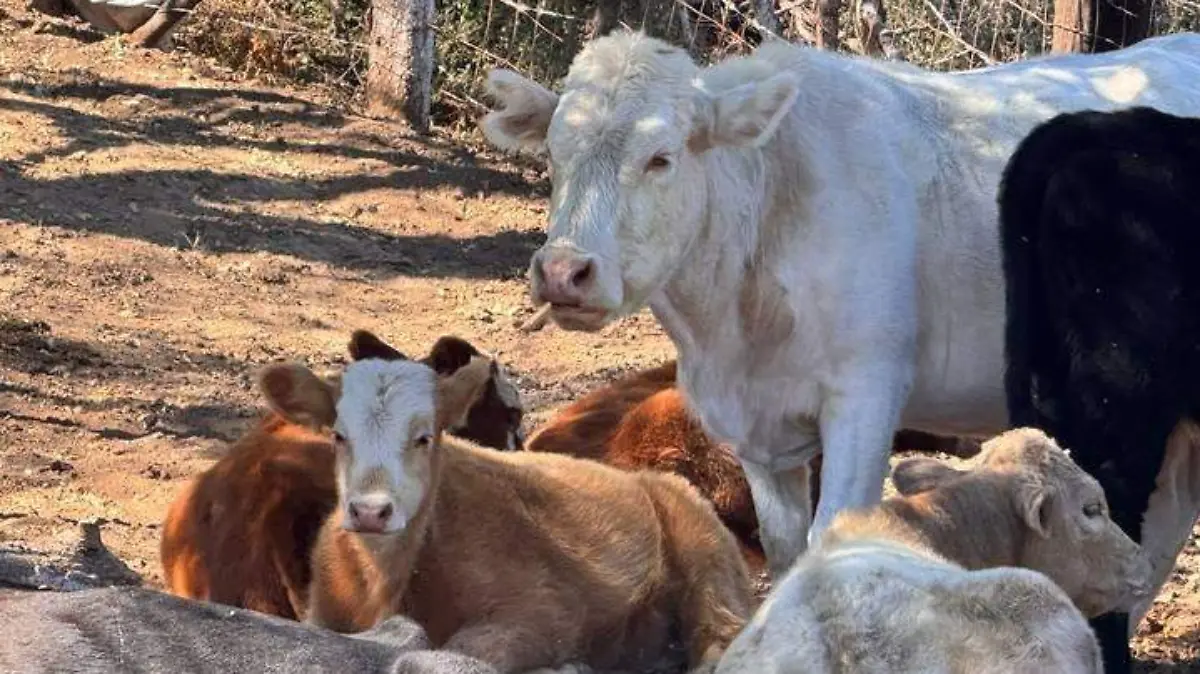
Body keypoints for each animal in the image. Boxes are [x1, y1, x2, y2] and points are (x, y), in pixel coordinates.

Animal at [478, 29, 1200, 581]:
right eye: (555, 152)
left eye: (661, 158)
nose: (565, 272)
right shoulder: (759, 436)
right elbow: (785, 548)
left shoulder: (866, 391)